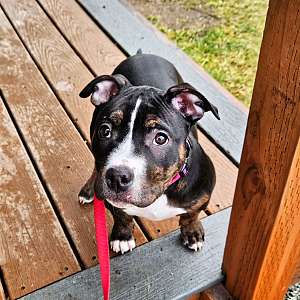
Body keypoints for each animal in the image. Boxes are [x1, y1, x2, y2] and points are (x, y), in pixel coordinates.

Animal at [78, 51, 218, 253]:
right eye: (105, 131)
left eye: (160, 138)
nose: (117, 177)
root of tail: (142, 54)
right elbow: (122, 216)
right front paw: (122, 236)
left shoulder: (202, 197)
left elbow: (191, 215)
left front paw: (192, 232)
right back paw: (89, 191)